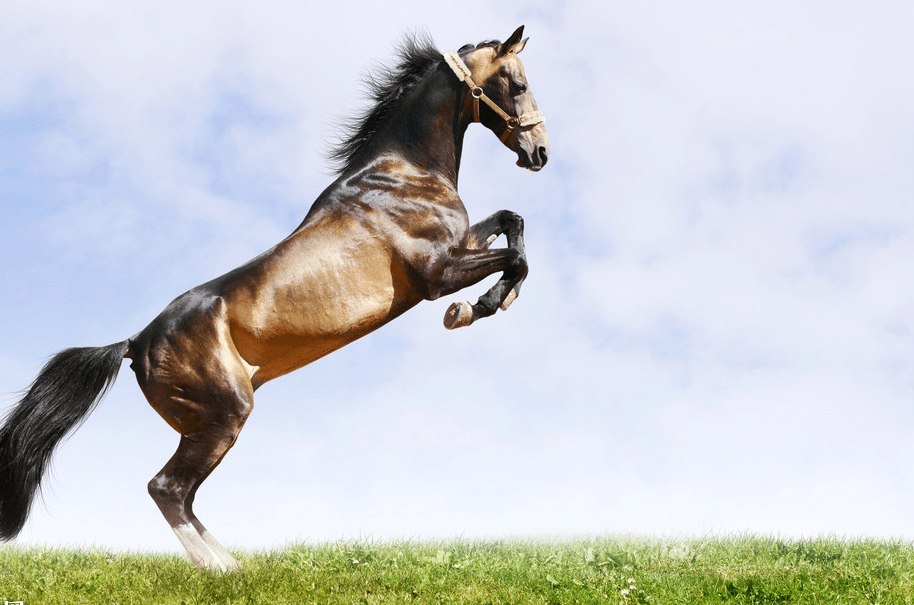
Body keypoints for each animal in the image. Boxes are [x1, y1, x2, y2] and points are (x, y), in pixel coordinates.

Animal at [0, 24, 548, 572]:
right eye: (518, 85)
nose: (540, 151)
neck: (404, 172)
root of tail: (135, 343)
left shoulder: (461, 246)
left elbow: (512, 222)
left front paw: (492, 300)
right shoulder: (437, 274)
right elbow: (515, 259)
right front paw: (473, 309)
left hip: (203, 425)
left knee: (185, 494)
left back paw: (235, 567)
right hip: (224, 416)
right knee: (167, 488)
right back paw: (218, 573)